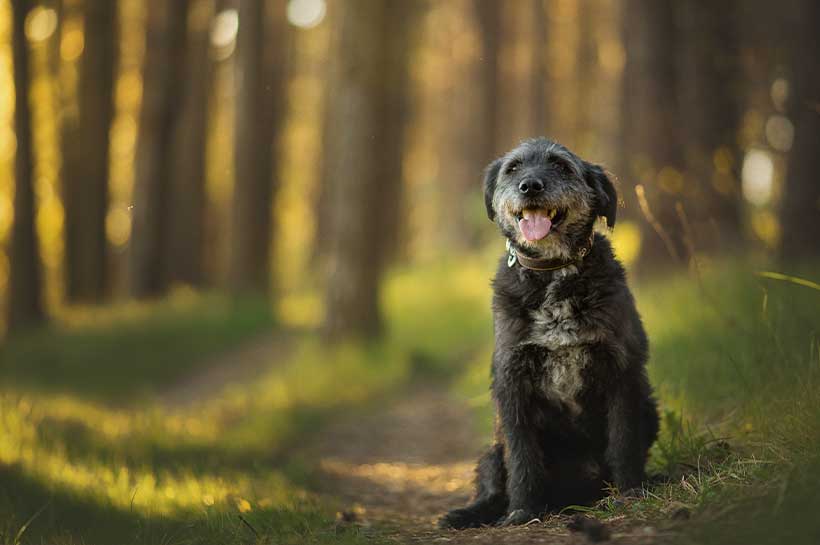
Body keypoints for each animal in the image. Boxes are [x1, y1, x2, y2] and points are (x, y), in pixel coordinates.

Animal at [438, 139, 656, 528]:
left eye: (561, 166)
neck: (554, 273)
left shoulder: (622, 373)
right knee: (493, 481)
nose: (530, 186)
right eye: (513, 168)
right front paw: (523, 510)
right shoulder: (512, 382)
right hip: (492, 446)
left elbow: (624, 440)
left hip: (650, 408)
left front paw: (631, 491)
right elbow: (522, 456)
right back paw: (471, 512)